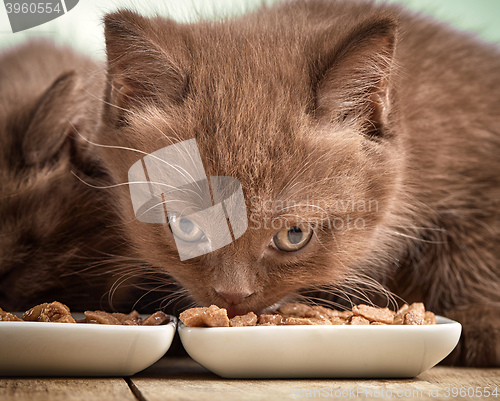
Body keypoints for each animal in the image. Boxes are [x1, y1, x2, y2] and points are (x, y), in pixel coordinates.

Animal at [97, 0, 500, 366]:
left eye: (294, 235)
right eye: (185, 227)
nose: (232, 296)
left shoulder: (480, 172)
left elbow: (478, 244)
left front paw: (482, 321)